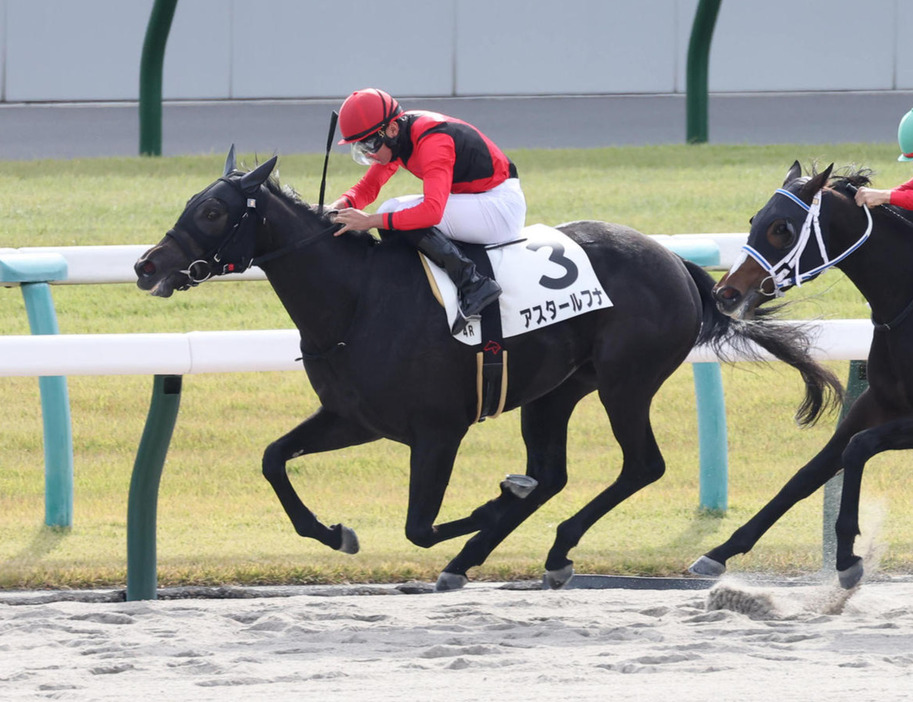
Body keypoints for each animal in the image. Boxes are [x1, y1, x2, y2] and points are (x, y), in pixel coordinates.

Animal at [132, 151, 836, 592]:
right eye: (193, 202)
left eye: (214, 212)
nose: (145, 265)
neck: (357, 299)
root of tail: (677, 263)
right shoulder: (354, 417)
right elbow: (274, 459)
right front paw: (335, 533)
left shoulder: (438, 431)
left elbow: (419, 526)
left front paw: (494, 501)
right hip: (557, 390)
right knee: (554, 473)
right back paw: (514, 551)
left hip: (626, 381)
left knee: (640, 465)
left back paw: (539, 542)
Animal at [692, 162, 912, 592]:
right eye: (754, 220)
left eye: (782, 229)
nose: (725, 294)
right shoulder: (877, 402)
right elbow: (809, 473)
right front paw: (720, 552)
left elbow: (857, 447)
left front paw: (846, 558)